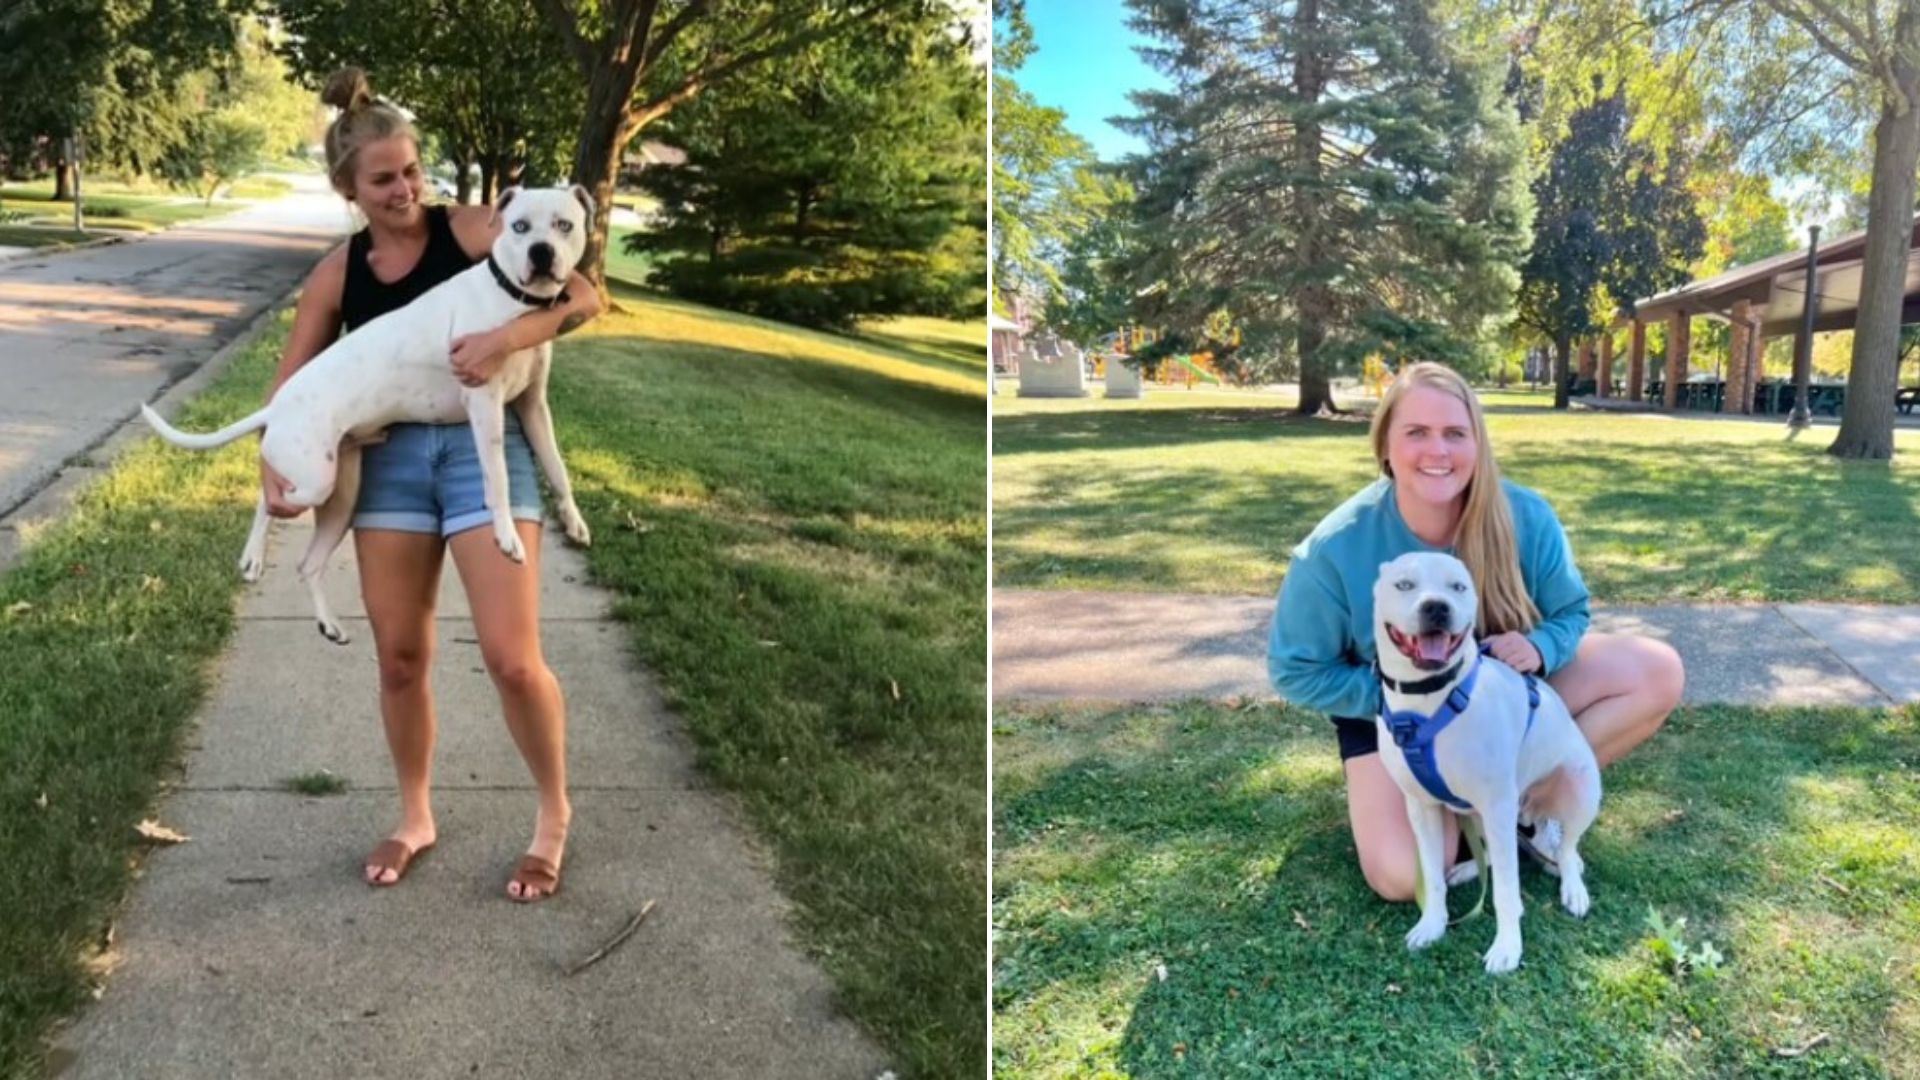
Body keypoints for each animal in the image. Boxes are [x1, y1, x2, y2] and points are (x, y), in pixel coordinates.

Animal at [140, 183, 591, 638]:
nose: (541, 252)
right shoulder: (484, 406)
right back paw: (253, 556)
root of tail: (276, 407)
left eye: (564, 225)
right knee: (269, 497)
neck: (512, 301)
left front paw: (572, 519)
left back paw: (328, 623)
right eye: (519, 226)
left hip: (341, 497)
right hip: (316, 481)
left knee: (308, 562)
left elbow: (557, 468)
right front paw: (506, 535)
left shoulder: (533, 406)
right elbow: (497, 478)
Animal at [1374, 549, 1597, 972]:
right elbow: (1431, 875)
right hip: (1484, 815)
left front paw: (1508, 946)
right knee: (1494, 853)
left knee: (1566, 848)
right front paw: (1432, 924)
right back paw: (1467, 869)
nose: (1436, 607)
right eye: (1405, 584)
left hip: (1578, 791)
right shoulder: (1422, 808)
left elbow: (1507, 893)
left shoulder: (1496, 804)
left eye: (1458, 587)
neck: (1430, 697)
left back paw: (1573, 889)